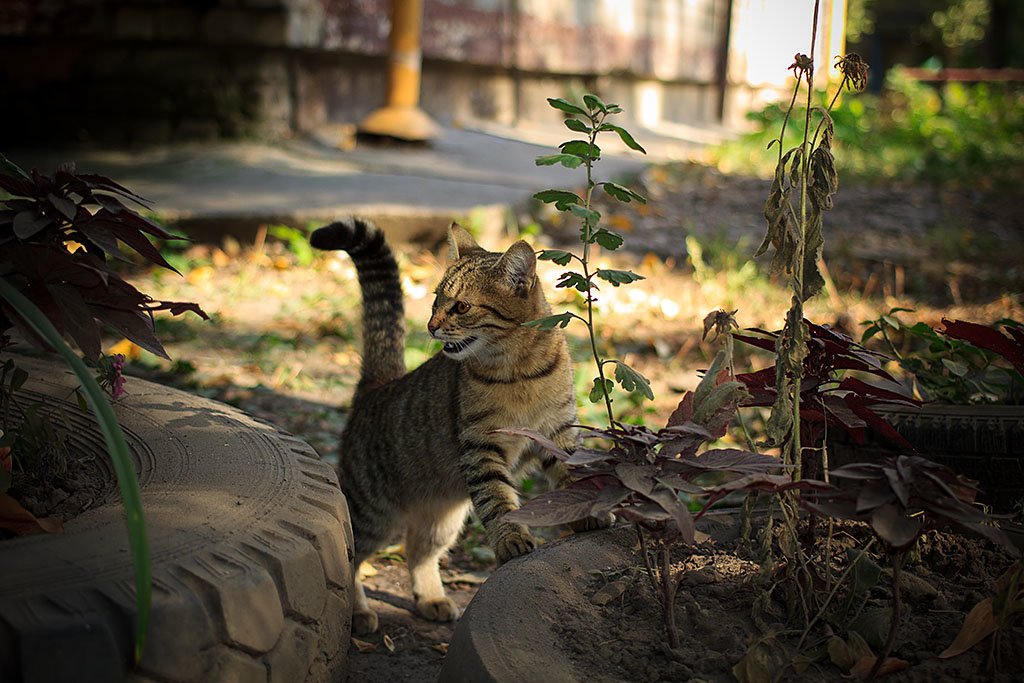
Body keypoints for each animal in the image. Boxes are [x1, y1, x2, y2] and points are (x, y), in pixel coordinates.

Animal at [307, 216, 602, 634]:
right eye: (435, 300)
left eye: (461, 306)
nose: (431, 326)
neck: (518, 370)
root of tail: (378, 385)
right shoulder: (480, 445)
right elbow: (498, 500)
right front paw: (510, 537)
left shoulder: (558, 433)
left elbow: (574, 480)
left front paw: (586, 512)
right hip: (371, 510)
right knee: (350, 552)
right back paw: (359, 611)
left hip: (442, 517)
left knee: (417, 549)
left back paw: (430, 598)